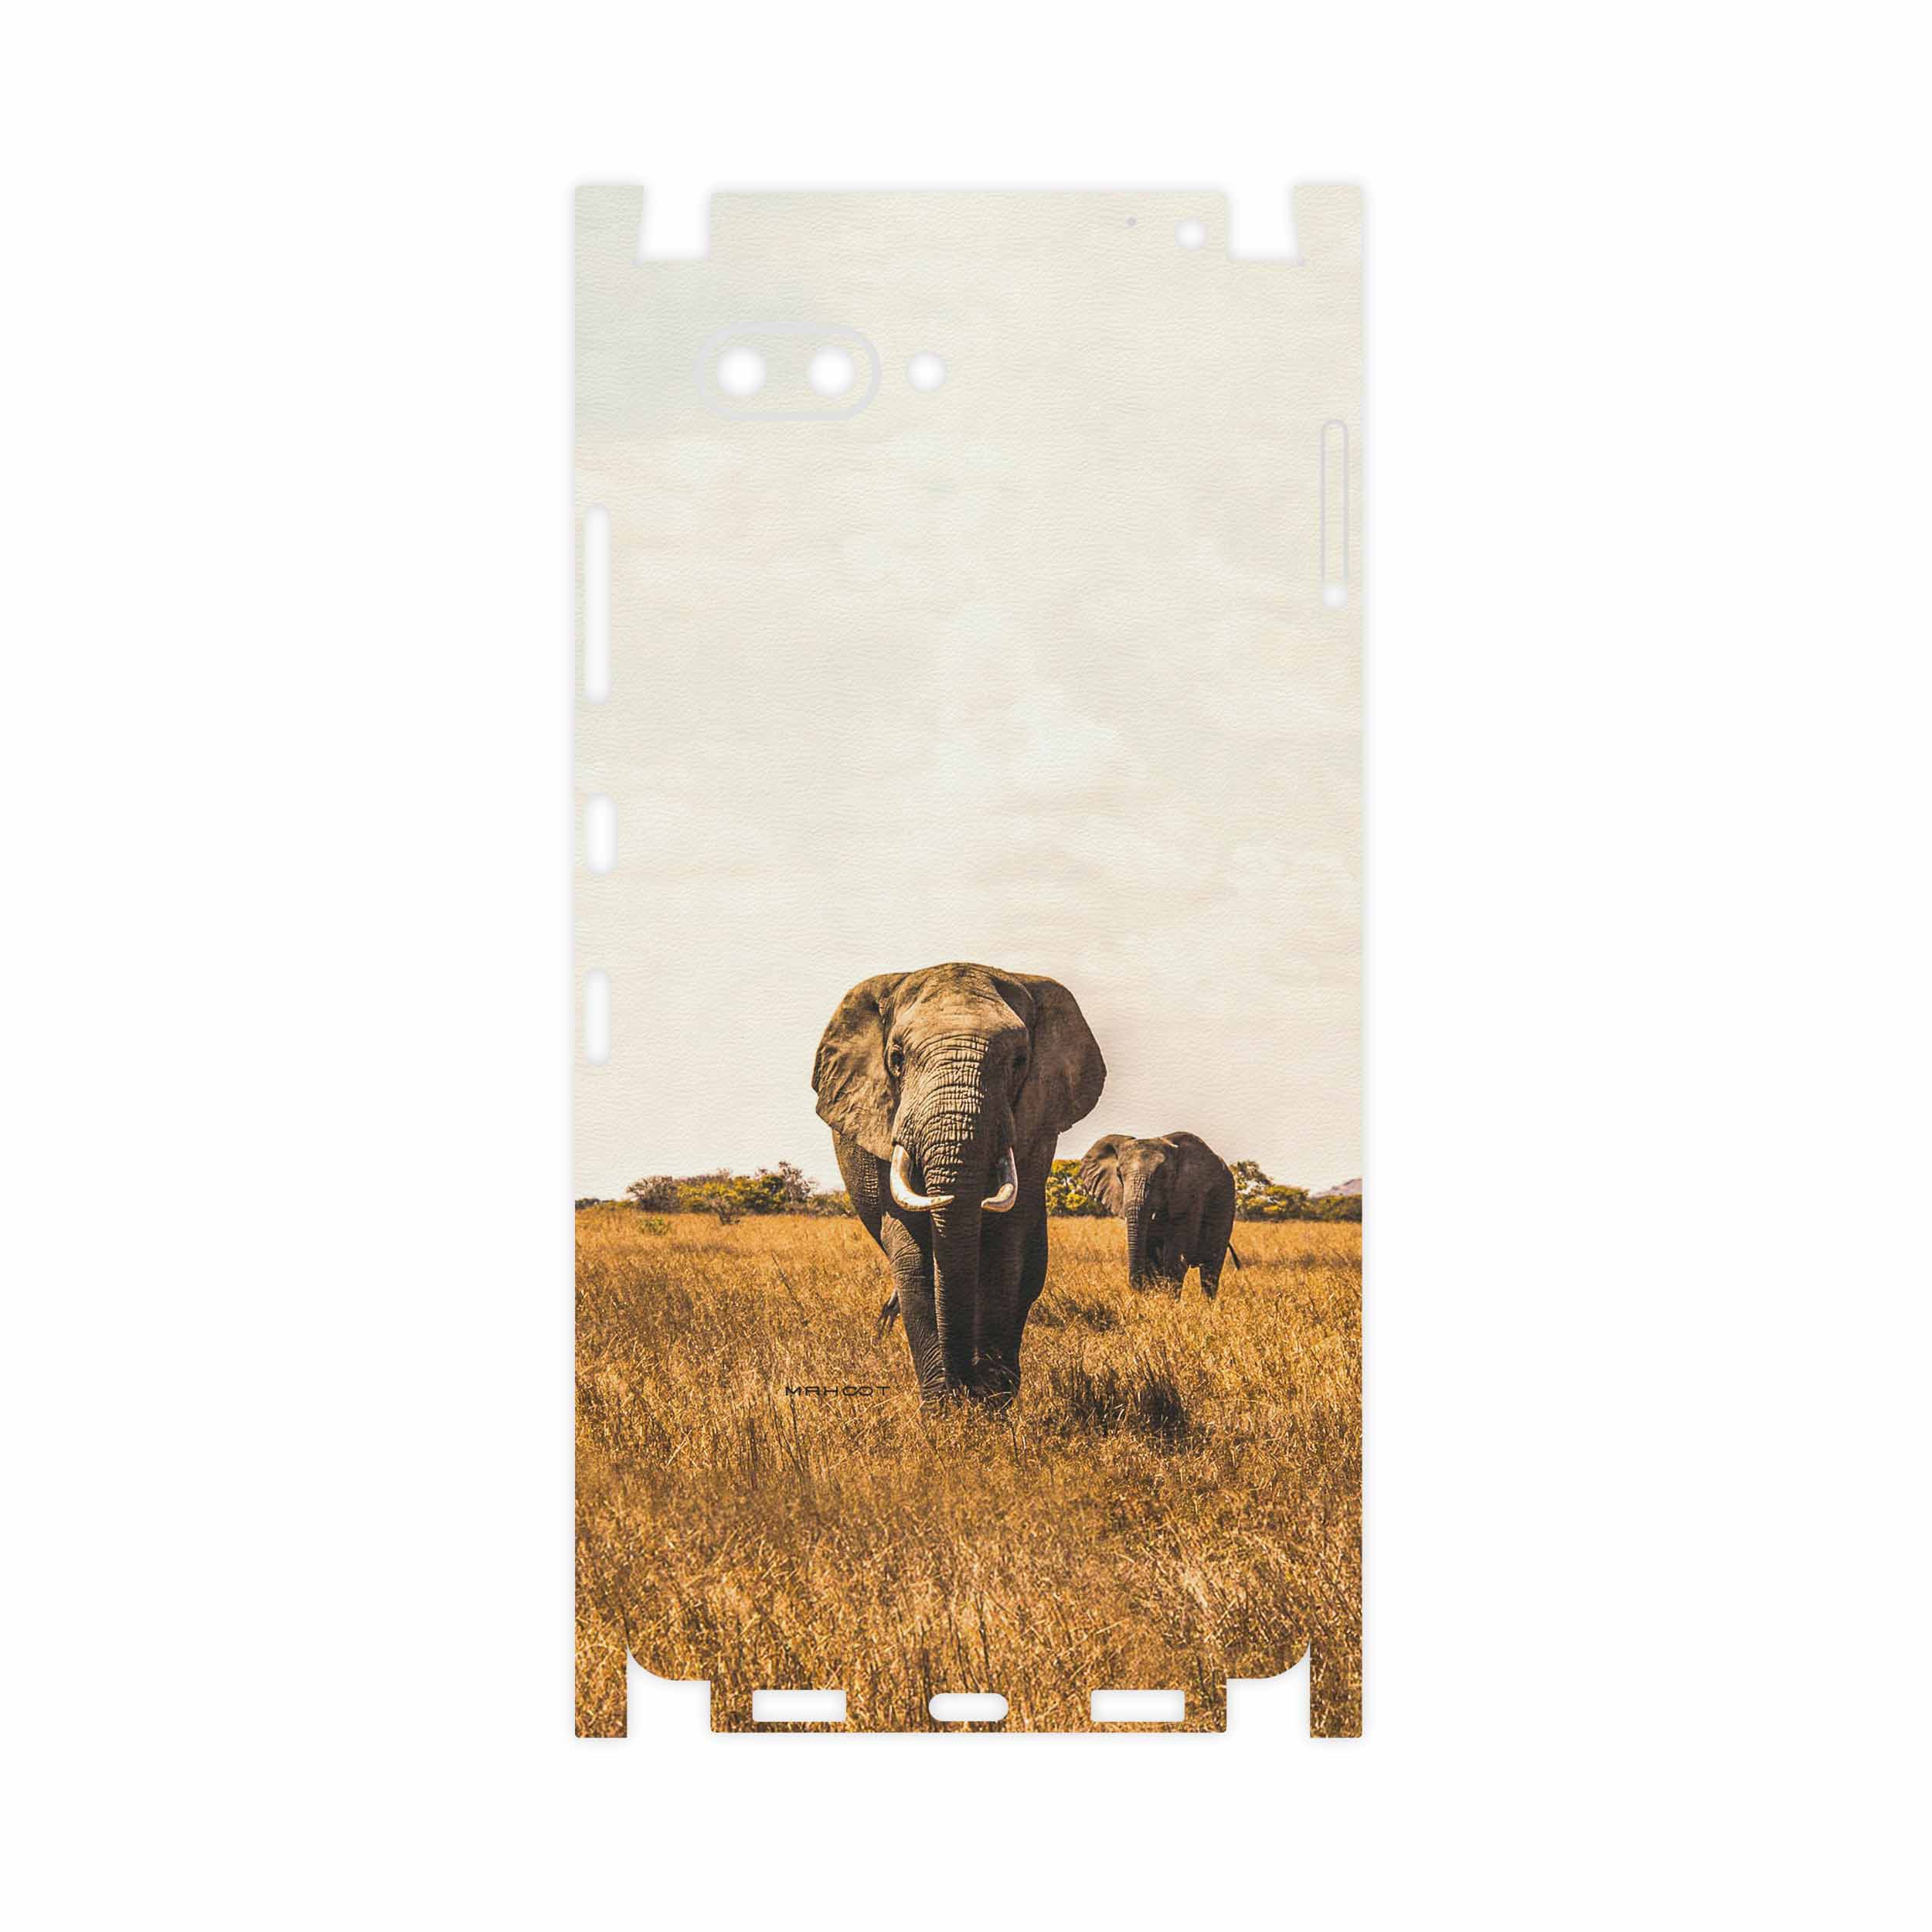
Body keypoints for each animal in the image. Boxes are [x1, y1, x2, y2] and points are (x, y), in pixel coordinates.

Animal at [812, 962, 1106, 1403]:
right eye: (897, 1059)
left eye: (1019, 1061)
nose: (965, 1385)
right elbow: (913, 1258)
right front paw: (945, 1408)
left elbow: (1005, 1250)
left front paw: (991, 1403)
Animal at [1077, 1131, 1242, 1299]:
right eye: (1118, 1174)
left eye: (1163, 1175)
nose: (1137, 1290)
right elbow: (1151, 1255)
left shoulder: (1191, 1193)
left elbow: (1176, 1258)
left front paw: (1169, 1301)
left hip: (1225, 1202)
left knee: (1211, 1265)